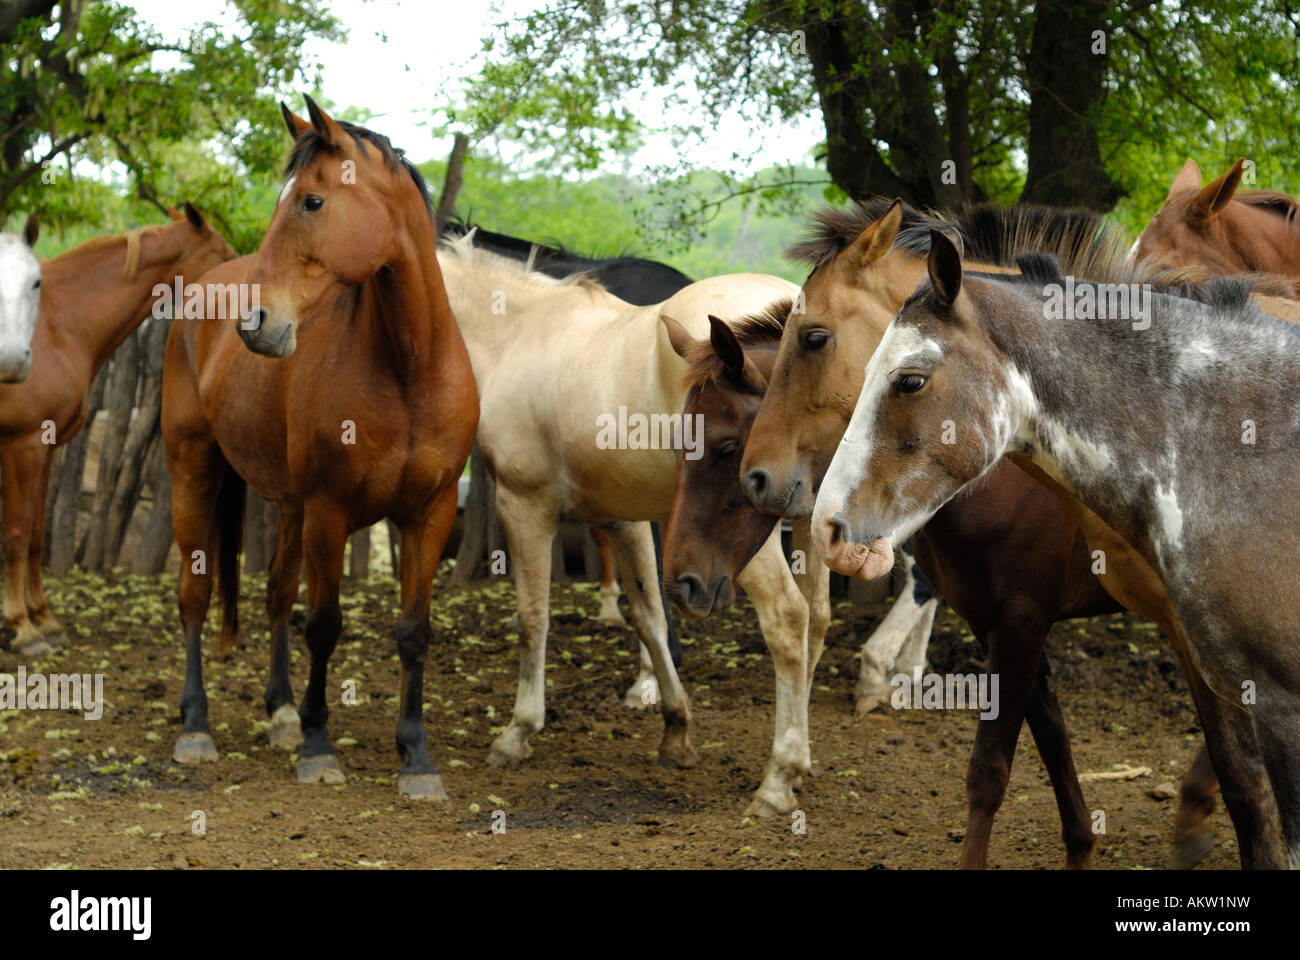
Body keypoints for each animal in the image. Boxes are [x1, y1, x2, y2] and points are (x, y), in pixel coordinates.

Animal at [2, 208, 235, 658]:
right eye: (226, 257)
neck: (57, 324)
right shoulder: (22, 447)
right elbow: (17, 535)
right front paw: (21, 629)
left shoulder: (47, 448)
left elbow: (37, 535)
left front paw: (45, 620)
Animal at [161, 98, 478, 801]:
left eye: (311, 201)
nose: (254, 324)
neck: (408, 371)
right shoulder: (331, 513)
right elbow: (326, 625)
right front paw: (318, 746)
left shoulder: (430, 515)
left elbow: (413, 631)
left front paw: (416, 757)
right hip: (194, 472)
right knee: (195, 596)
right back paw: (196, 727)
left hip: (288, 503)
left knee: (277, 594)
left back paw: (279, 711)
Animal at [434, 235, 821, 811]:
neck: (518, 336)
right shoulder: (625, 521)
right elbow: (650, 617)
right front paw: (675, 729)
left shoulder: (524, 506)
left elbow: (533, 619)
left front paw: (519, 730)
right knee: (817, 617)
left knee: (788, 620)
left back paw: (779, 778)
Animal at [738, 200, 1284, 868]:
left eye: (814, 338)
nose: (757, 478)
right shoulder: (1001, 621)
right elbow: (1049, 742)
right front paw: (1081, 847)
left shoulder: (1039, 621)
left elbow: (992, 771)